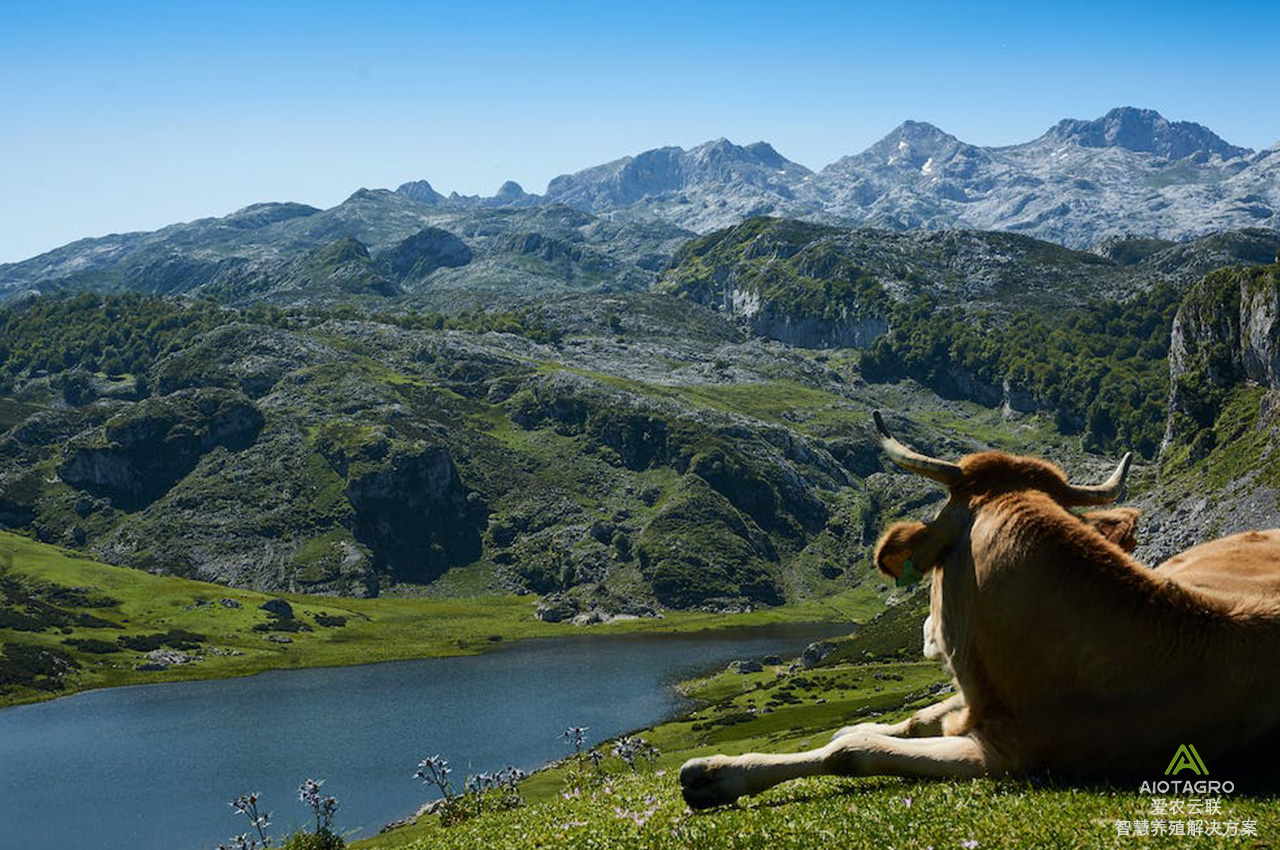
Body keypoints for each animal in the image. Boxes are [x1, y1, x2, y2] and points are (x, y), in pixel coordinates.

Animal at [680, 412, 1280, 809]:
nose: (925, 630)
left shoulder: (1001, 756)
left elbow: (848, 749)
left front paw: (720, 775)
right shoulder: (965, 706)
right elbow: (893, 723)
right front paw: (722, 770)